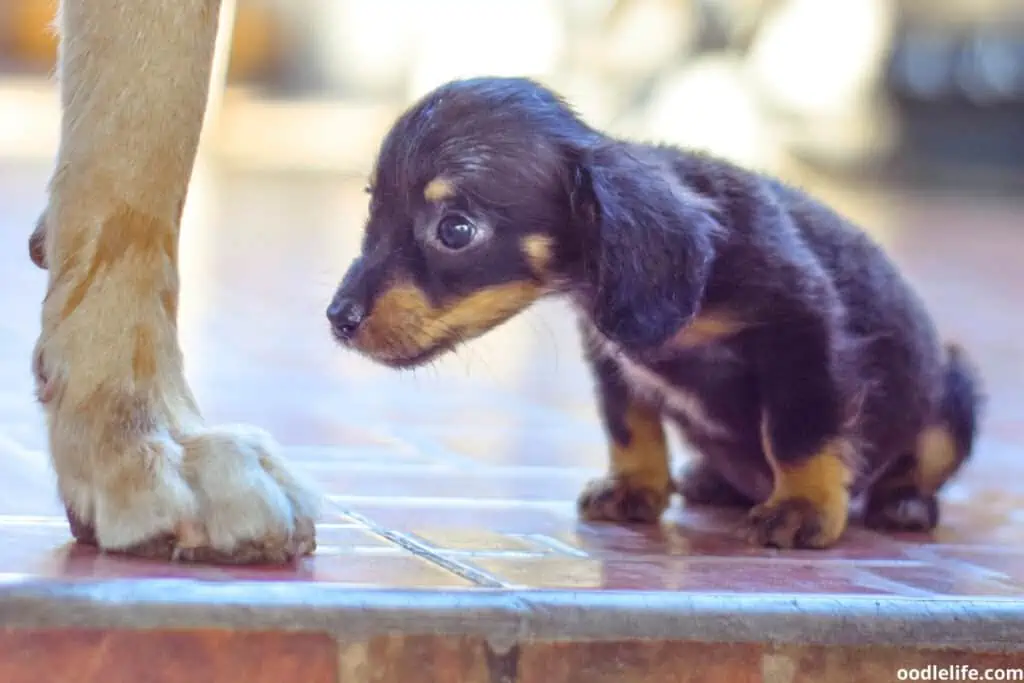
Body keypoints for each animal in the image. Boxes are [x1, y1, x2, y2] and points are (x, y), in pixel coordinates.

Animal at [327, 77, 983, 552]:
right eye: (374, 211)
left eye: (456, 230)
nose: (338, 318)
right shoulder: (613, 360)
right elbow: (630, 428)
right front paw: (635, 489)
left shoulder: (804, 334)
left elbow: (799, 433)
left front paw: (803, 507)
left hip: (954, 392)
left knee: (923, 463)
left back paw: (903, 501)